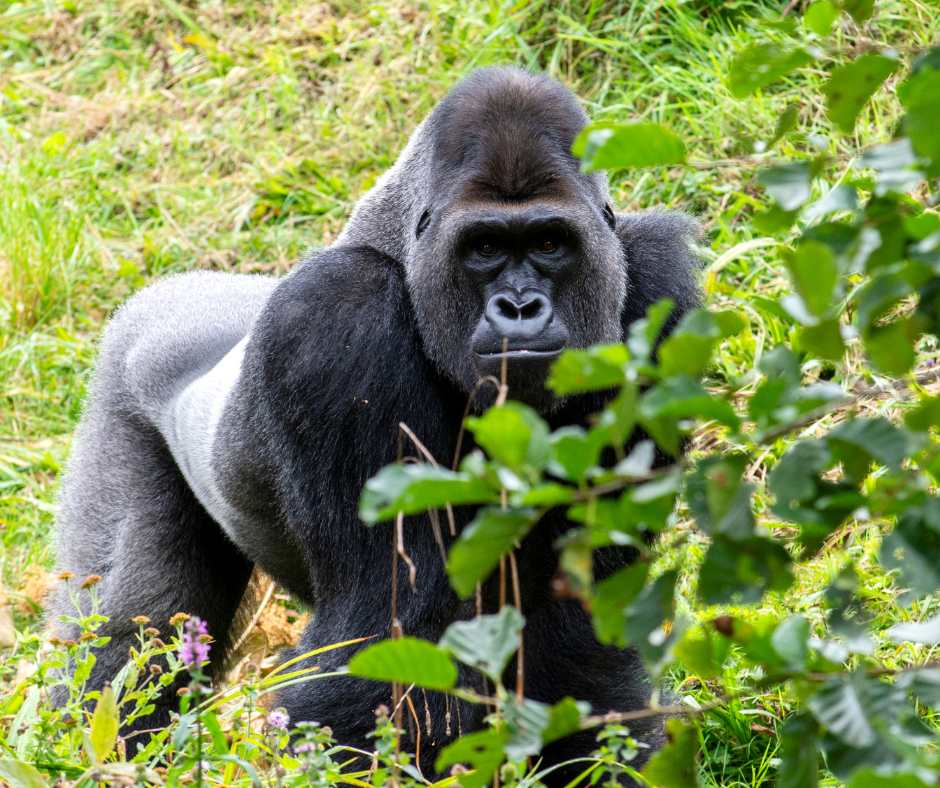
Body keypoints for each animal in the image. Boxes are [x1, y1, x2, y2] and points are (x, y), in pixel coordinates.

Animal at [51, 67, 696, 780]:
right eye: (486, 247)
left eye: (550, 243)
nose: (521, 306)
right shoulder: (336, 317)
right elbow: (386, 628)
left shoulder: (657, 294)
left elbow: (580, 622)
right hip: (121, 378)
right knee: (132, 632)